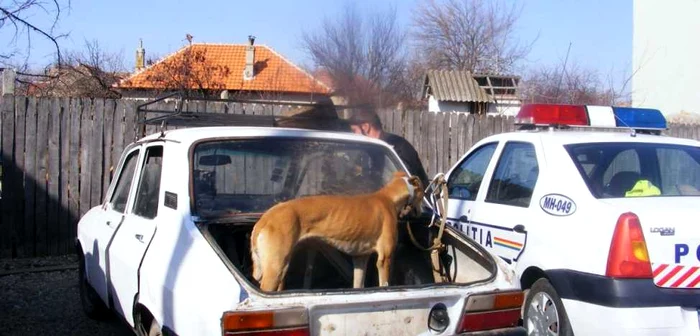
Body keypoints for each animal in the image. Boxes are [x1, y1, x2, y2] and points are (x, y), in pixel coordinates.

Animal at [253, 171, 426, 292]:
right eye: (423, 191)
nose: (422, 213)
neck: (388, 197)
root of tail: (265, 219)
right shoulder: (384, 259)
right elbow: (384, 283)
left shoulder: (360, 259)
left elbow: (358, 284)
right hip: (275, 269)